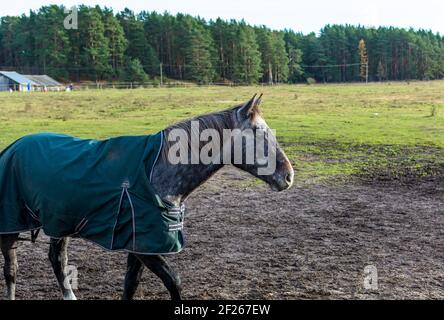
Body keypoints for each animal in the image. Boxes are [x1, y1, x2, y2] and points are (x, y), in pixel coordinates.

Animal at [0, 94, 294, 300]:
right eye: (258, 131)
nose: (289, 175)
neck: (156, 171)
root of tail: (12, 147)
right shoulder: (147, 248)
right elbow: (174, 281)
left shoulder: (140, 244)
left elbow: (131, 285)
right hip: (11, 226)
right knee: (11, 269)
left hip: (60, 224)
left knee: (57, 261)